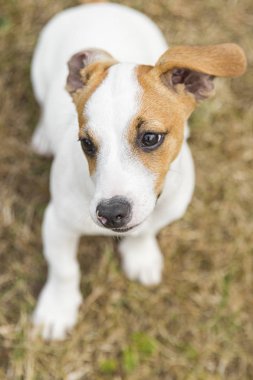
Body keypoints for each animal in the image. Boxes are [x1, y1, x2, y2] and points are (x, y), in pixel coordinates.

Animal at [30, 0, 246, 338]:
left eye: (150, 138)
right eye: (86, 144)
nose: (111, 213)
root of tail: (99, 6)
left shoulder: (168, 209)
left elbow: (146, 231)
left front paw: (141, 256)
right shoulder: (57, 222)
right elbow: (64, 269)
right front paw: (57, 309)